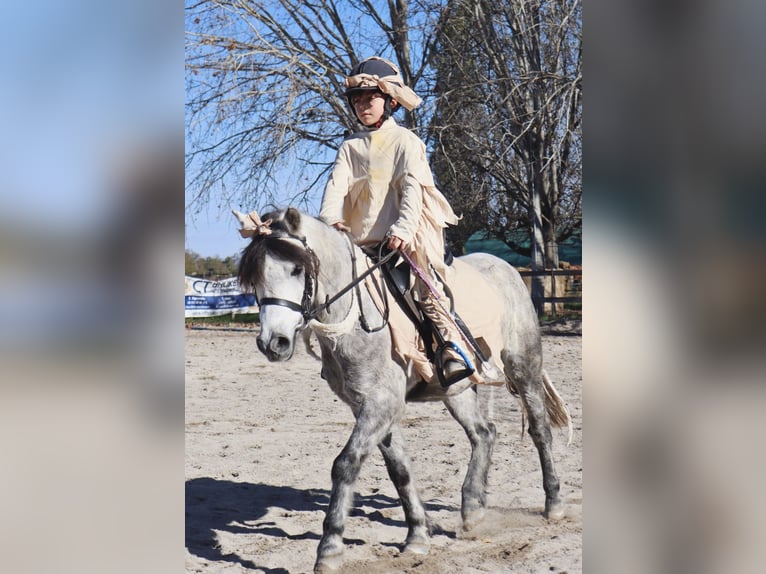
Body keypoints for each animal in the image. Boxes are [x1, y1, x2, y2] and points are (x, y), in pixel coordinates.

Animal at [237, 208, 572, 574]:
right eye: (255, 278)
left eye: (298, 269)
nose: (274, 343)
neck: (355, 319)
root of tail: (506, 269)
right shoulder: (370, 406)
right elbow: (399, 470)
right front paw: (417, 536)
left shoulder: (381, 404)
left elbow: (346, 463)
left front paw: (330, 548)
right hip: (455, 389)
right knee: (484, 433)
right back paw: (472, 507)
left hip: (524, 368)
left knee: (540, 431)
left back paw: (553, 504)